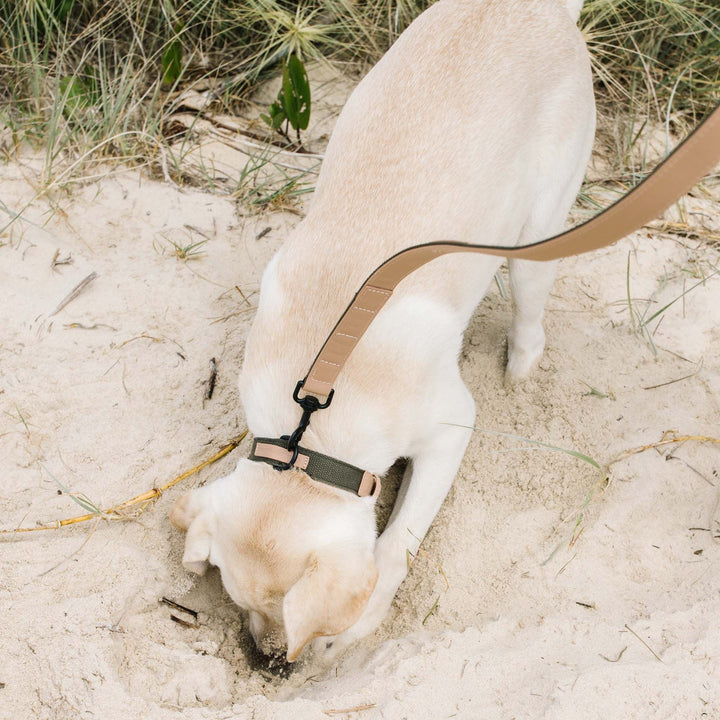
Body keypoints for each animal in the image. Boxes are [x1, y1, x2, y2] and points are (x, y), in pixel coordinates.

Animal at [170, 0, 596, 664]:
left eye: (300, 625)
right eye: (241, 604)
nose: (267, 662)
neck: (310, 431)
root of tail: (542, 9)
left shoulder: (452, 428)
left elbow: (397, 543)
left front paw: (361, 623)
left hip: (541, 230)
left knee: (531, 316)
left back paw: (520, 374)